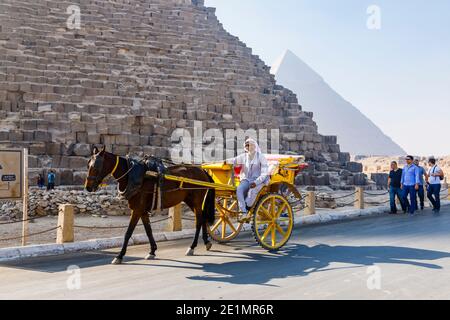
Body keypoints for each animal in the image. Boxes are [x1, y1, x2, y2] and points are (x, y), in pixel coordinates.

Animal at [85, 146, 216, 264]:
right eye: (88, 165)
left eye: (95, 166)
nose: (88, 187)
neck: (133, 176)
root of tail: (202, 170)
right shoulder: (142, 211)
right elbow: (148, 230)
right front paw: (152, 251)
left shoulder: (137, 210)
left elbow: (128, 233)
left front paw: (119, 255)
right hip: (190, 201)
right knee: (202, 218)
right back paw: (206, 242)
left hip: (196, 201)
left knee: (199, 221)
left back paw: (192, 246)